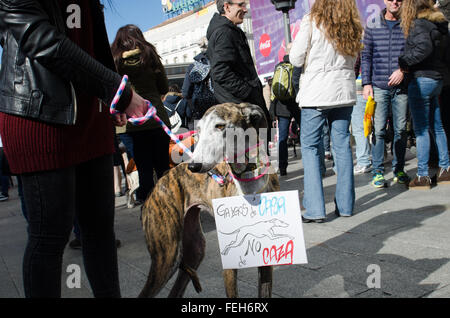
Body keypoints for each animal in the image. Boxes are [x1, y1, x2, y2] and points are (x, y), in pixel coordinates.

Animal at [139, 102, 280, 298]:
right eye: (198, 130)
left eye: (220, 126)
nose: (193, 166)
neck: (248, 182)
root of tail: (158, 184)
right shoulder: (229, 264)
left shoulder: (267, 260)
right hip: (166, 254)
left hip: (195, 250)